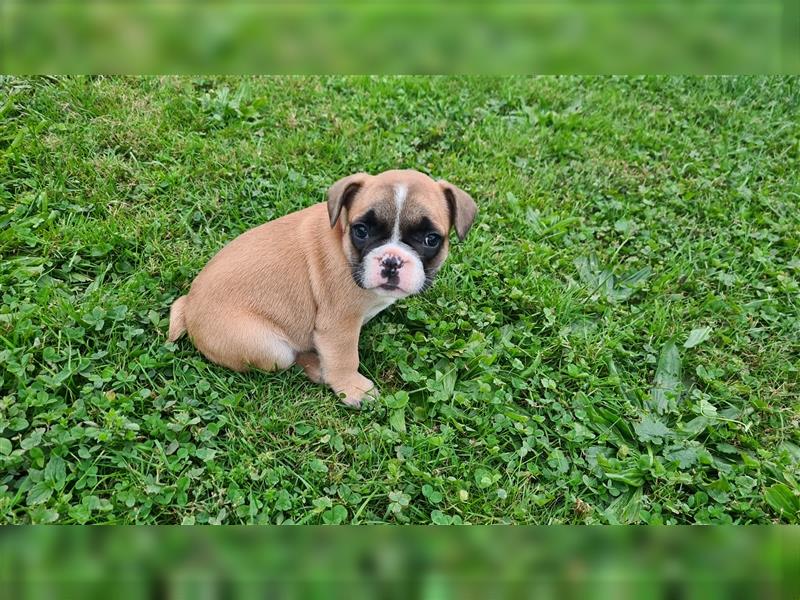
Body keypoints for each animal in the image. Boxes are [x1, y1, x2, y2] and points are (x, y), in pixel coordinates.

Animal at [167, 166, 476, 406]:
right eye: (361, 231)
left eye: (431, 239)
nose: (391, 261)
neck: (343, 241)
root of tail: (188, 306)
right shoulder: (338, 325)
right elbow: (344, 357)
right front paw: (352, 388)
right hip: (269, 348)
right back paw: (319, 370)